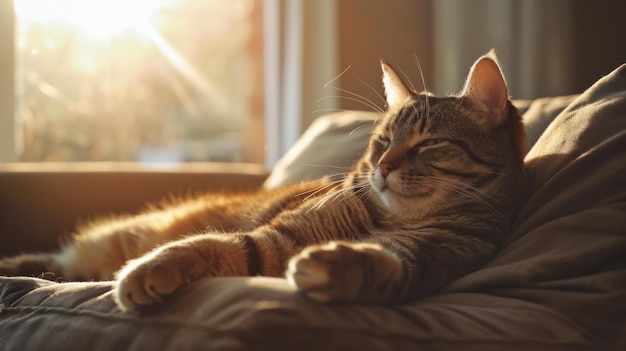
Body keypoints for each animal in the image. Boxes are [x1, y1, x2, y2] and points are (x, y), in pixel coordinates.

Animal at [0, 51, 528, 312]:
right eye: (383, 141)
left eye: (427, 144)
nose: (383, 167)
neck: (388, 219)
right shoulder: (273, 238)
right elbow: (206, 246)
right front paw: (150, 271)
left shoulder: (427, 260)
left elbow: (388, 270)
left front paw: (339, 267)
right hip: (114, 239)